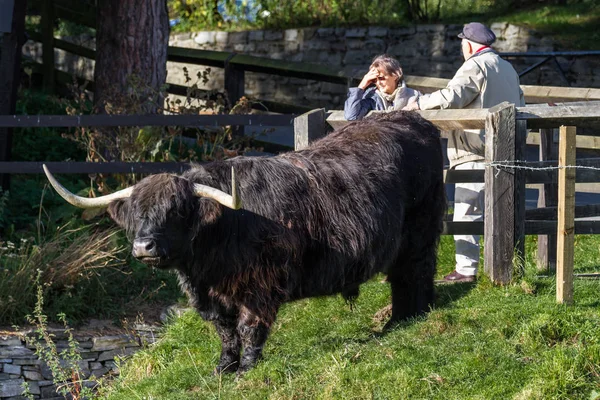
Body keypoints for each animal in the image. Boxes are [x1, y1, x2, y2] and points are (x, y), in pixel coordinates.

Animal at [45, 110, 446, 376]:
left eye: (176, 211)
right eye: (137, 215)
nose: (144, 247)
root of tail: (414, 120)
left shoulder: (260, 286)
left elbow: (250, 327)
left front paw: (247, 370)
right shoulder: (212, 298)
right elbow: (225, 332)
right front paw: (223, 367)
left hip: (421, 230)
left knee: (416, 271)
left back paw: (409, 318)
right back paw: (401, 319)